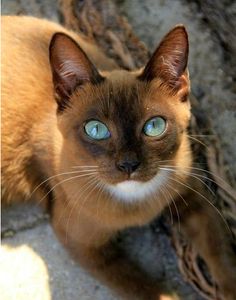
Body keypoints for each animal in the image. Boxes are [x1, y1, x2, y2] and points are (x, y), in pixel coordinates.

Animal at [1, 16, 236, 300]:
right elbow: (149, 290)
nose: (128, 165)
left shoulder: (195, 198)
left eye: (154, 126)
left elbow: (222, 256)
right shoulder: (83, 244)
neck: (136, 203)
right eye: (96, 129)